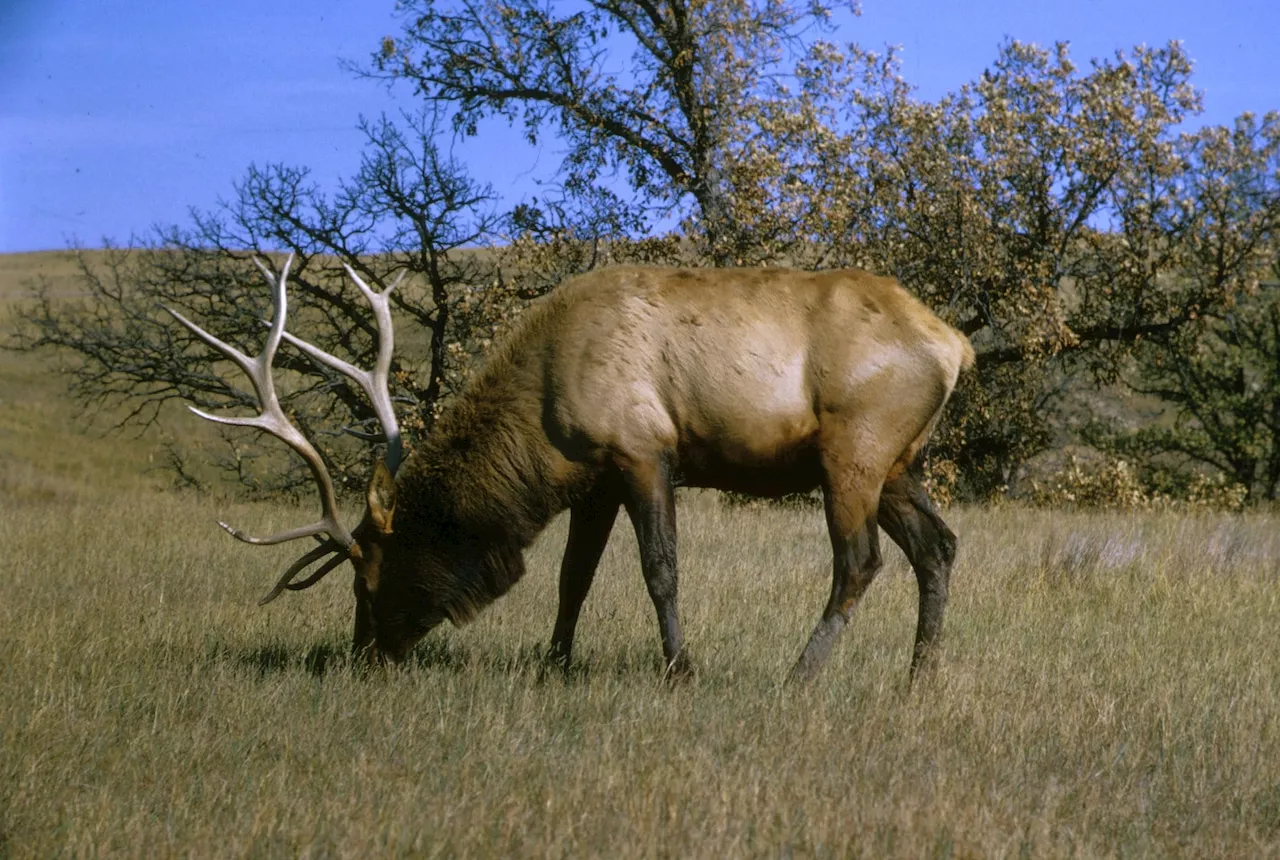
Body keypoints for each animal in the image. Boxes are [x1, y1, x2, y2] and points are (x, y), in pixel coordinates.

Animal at [167, 253, 967, 680]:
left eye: (368, 579)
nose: (364, 657)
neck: (542, 418)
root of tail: (954, 344)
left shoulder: (642, 449)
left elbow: (660, 569)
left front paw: (680, 669)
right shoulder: (595, 478)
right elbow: (572, 577)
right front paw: (554, 664)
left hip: (854, 450)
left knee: (860, 561)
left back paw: (798, 675)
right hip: (901, 463)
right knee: (939, 547)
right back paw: (918, 678)